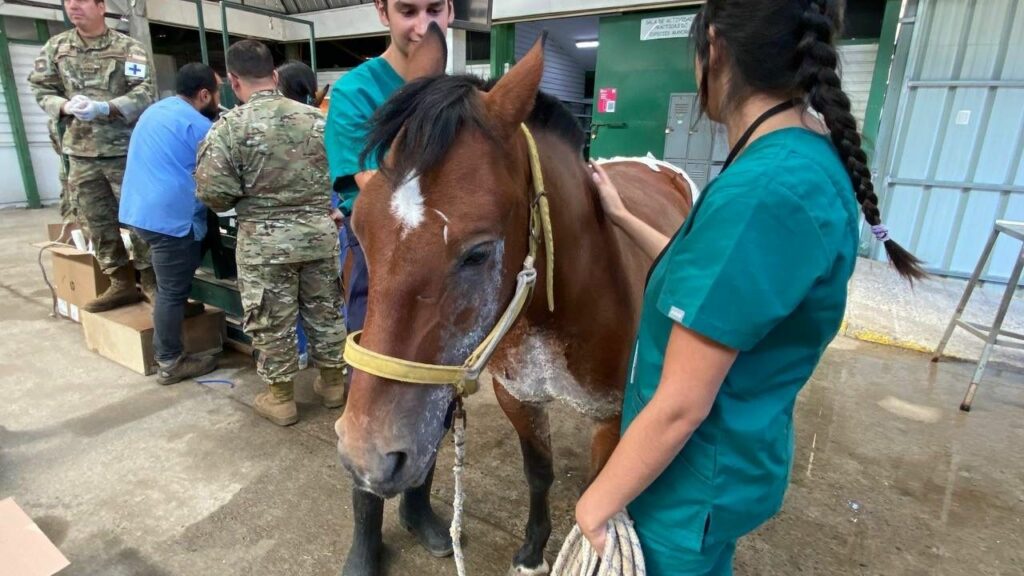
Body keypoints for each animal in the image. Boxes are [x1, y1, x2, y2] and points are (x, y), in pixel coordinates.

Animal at [335, 30, 696, 573]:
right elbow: (539, 472)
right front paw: (531, 550)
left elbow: (598, 495)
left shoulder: (614, 418)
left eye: (478, 253)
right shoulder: (518, 397)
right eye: (360, 229)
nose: (366, 455)